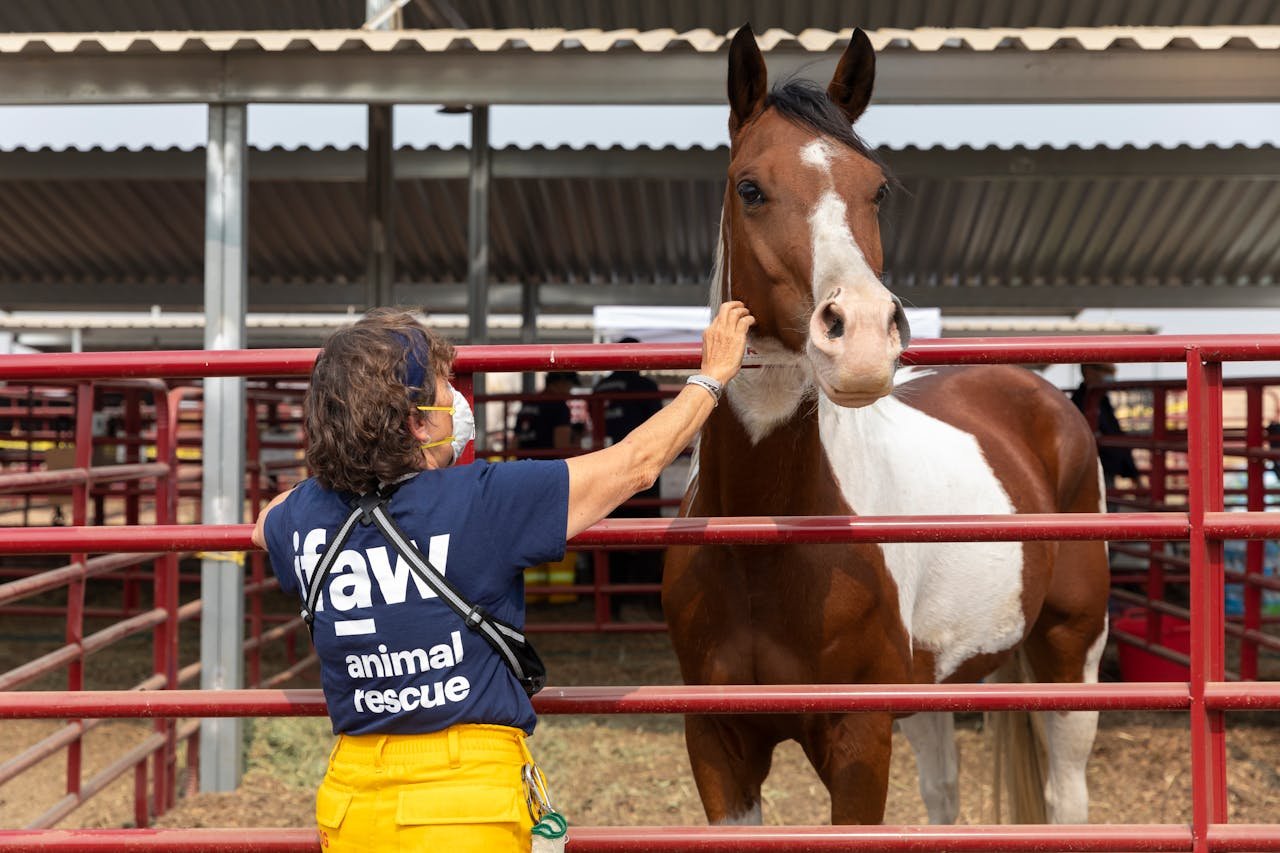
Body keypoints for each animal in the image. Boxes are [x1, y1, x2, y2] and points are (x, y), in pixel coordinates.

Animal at [665, 26, 1105, 824]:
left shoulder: (859, 738)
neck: (763, 538)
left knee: (1066, 796)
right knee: (943, 794)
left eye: (877, 190)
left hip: (1071, 652)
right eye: (750, 187)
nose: (865, 334)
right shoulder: (717, 746)